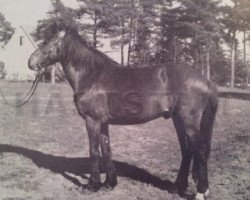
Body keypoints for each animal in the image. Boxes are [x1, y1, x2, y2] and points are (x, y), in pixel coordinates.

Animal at [28, 28, 218, 199]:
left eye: (49, 42)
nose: (31, 62)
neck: (92, 75)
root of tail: (205, 80)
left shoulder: (92, 121)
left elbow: (93, 151)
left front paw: (92, 186)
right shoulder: (103, 122)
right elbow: (106, 150)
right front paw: (109, 184)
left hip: (189, 122)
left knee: (199, 151)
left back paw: (201, 192)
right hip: (177, 120)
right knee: (187, 151)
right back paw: (178, 187)